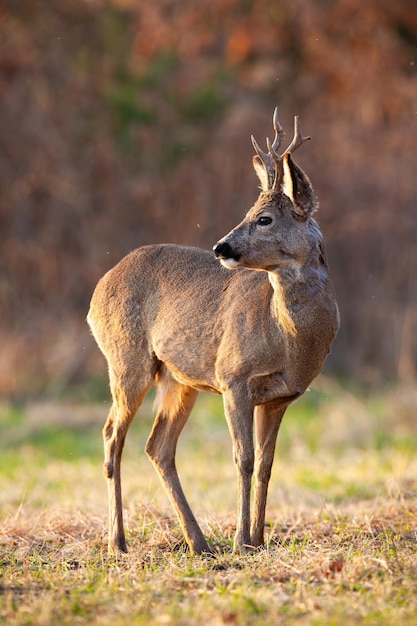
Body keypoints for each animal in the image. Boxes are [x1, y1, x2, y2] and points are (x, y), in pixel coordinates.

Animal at [87, 109, 338, 552]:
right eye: (249, 213)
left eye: (264, 218)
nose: (222, 247)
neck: (289, 337)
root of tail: (99, 289)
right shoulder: (233, 376)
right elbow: (244, 459)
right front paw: (242, 540)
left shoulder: (281, 397)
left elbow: (267, 463)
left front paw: (258, 538)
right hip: (127, 359)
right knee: (112, 435)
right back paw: (118, 542)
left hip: (179, 379)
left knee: (158, 446)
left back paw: (198, 542)